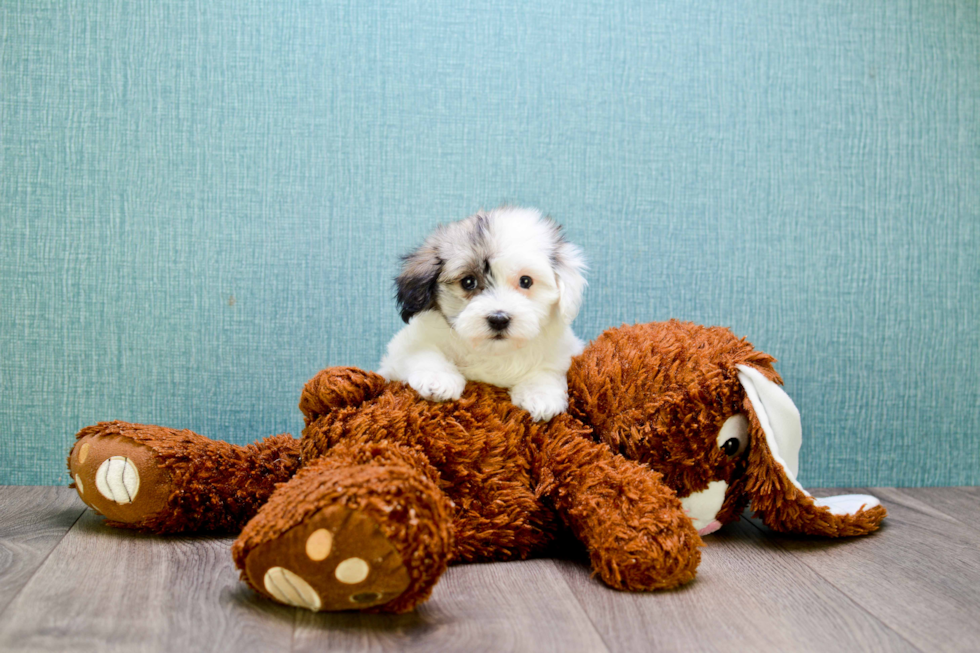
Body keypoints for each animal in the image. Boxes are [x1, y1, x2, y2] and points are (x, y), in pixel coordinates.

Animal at [378, 208, 584, 422]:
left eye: (526, 281)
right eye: (468, 282)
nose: (499, 319)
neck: (492, 352)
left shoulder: (563, 352)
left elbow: (549, 367)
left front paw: (540, 395)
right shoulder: (402, 349)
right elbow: (422, 351)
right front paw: (438, 378)